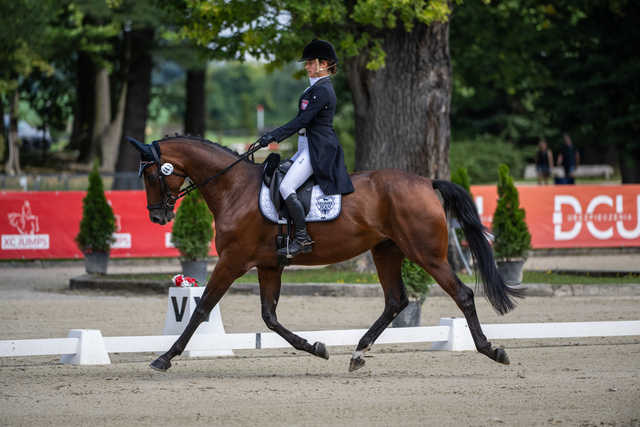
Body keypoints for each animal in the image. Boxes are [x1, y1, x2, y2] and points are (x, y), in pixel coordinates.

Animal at [130, 135, 520, 372]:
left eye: (150, 175)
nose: (157, 217)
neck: (234, 189)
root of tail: (426, 182)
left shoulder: (232, 261)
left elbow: (201, 309)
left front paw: (164, 358)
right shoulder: (269, 265)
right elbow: (269, 317)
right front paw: (317, 347)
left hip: (427, 254)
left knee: (462, 294)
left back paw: (492, 350)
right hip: (387, 251)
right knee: (395, 301)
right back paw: (358, 352)